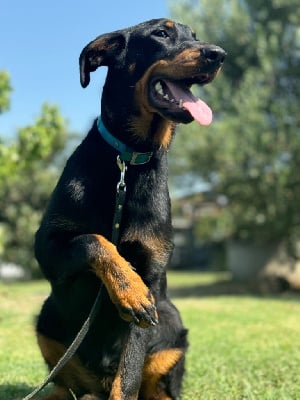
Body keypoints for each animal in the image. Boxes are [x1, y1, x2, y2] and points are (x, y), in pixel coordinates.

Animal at [34, 17, 225, 398]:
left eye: (195, 36)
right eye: (161, 33)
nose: (219, 54)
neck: (129, 160)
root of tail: (97, 382)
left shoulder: (151, 275)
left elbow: (130, 373)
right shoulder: (47, 248)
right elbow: (93, 240)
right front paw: (129, 290)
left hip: (173, 330)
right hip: (46, 318)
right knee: (62, 383)